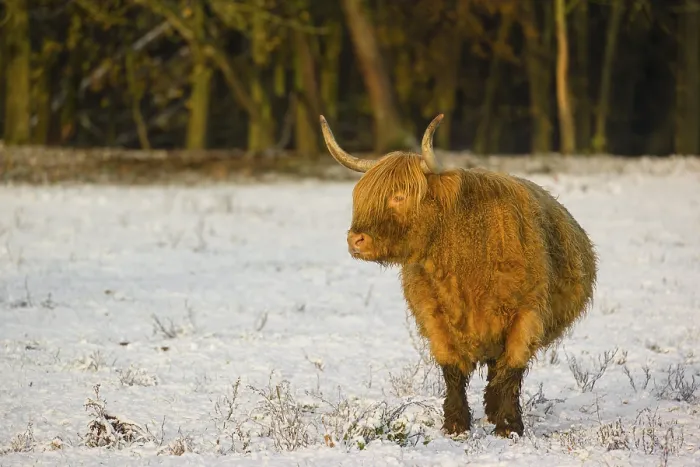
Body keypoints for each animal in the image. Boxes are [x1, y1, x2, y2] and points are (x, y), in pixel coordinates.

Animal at [319, 114, 598, 438]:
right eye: (361, 196)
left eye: (399, 196)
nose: (355, 240)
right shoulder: (433, 316)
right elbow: (451, 369)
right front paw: (455, 424)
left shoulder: (527, 313)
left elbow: (512, 368)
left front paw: (509, 426)